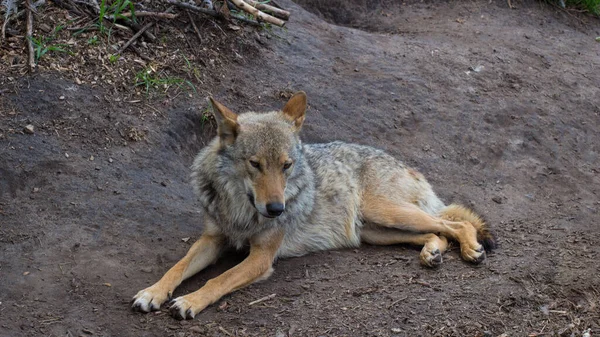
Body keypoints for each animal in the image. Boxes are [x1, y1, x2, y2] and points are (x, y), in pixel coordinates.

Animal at [132, 91, 496, 318]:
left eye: (287, 165)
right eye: (255, 164)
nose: (277, 210)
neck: (241, 209)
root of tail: (407, 165)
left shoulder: (261, 258)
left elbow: (218, 280)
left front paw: (190, 301)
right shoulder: (212, 240)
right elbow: (177, 267)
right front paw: (152, 292)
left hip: (387, 214)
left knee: (456, 223)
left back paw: (471, 250)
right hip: (375, 232)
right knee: (438, 233)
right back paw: (432, 253)